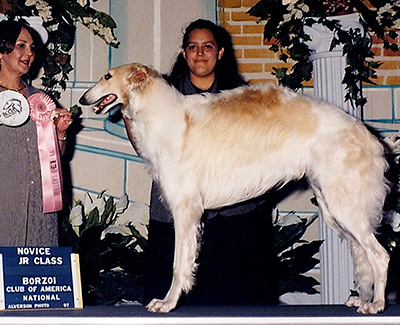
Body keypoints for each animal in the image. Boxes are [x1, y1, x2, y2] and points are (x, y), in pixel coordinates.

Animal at [79, 62, 390, 312]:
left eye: (107, 76)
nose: (82, 98)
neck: (163, 116)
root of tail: (369, 137)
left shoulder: (185, 208)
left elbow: (179, 264)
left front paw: (167, 303)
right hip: (334, 207)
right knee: (362, 254)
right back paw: (362, 299)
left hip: (345, 205)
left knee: (380, 255)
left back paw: (376, 304)